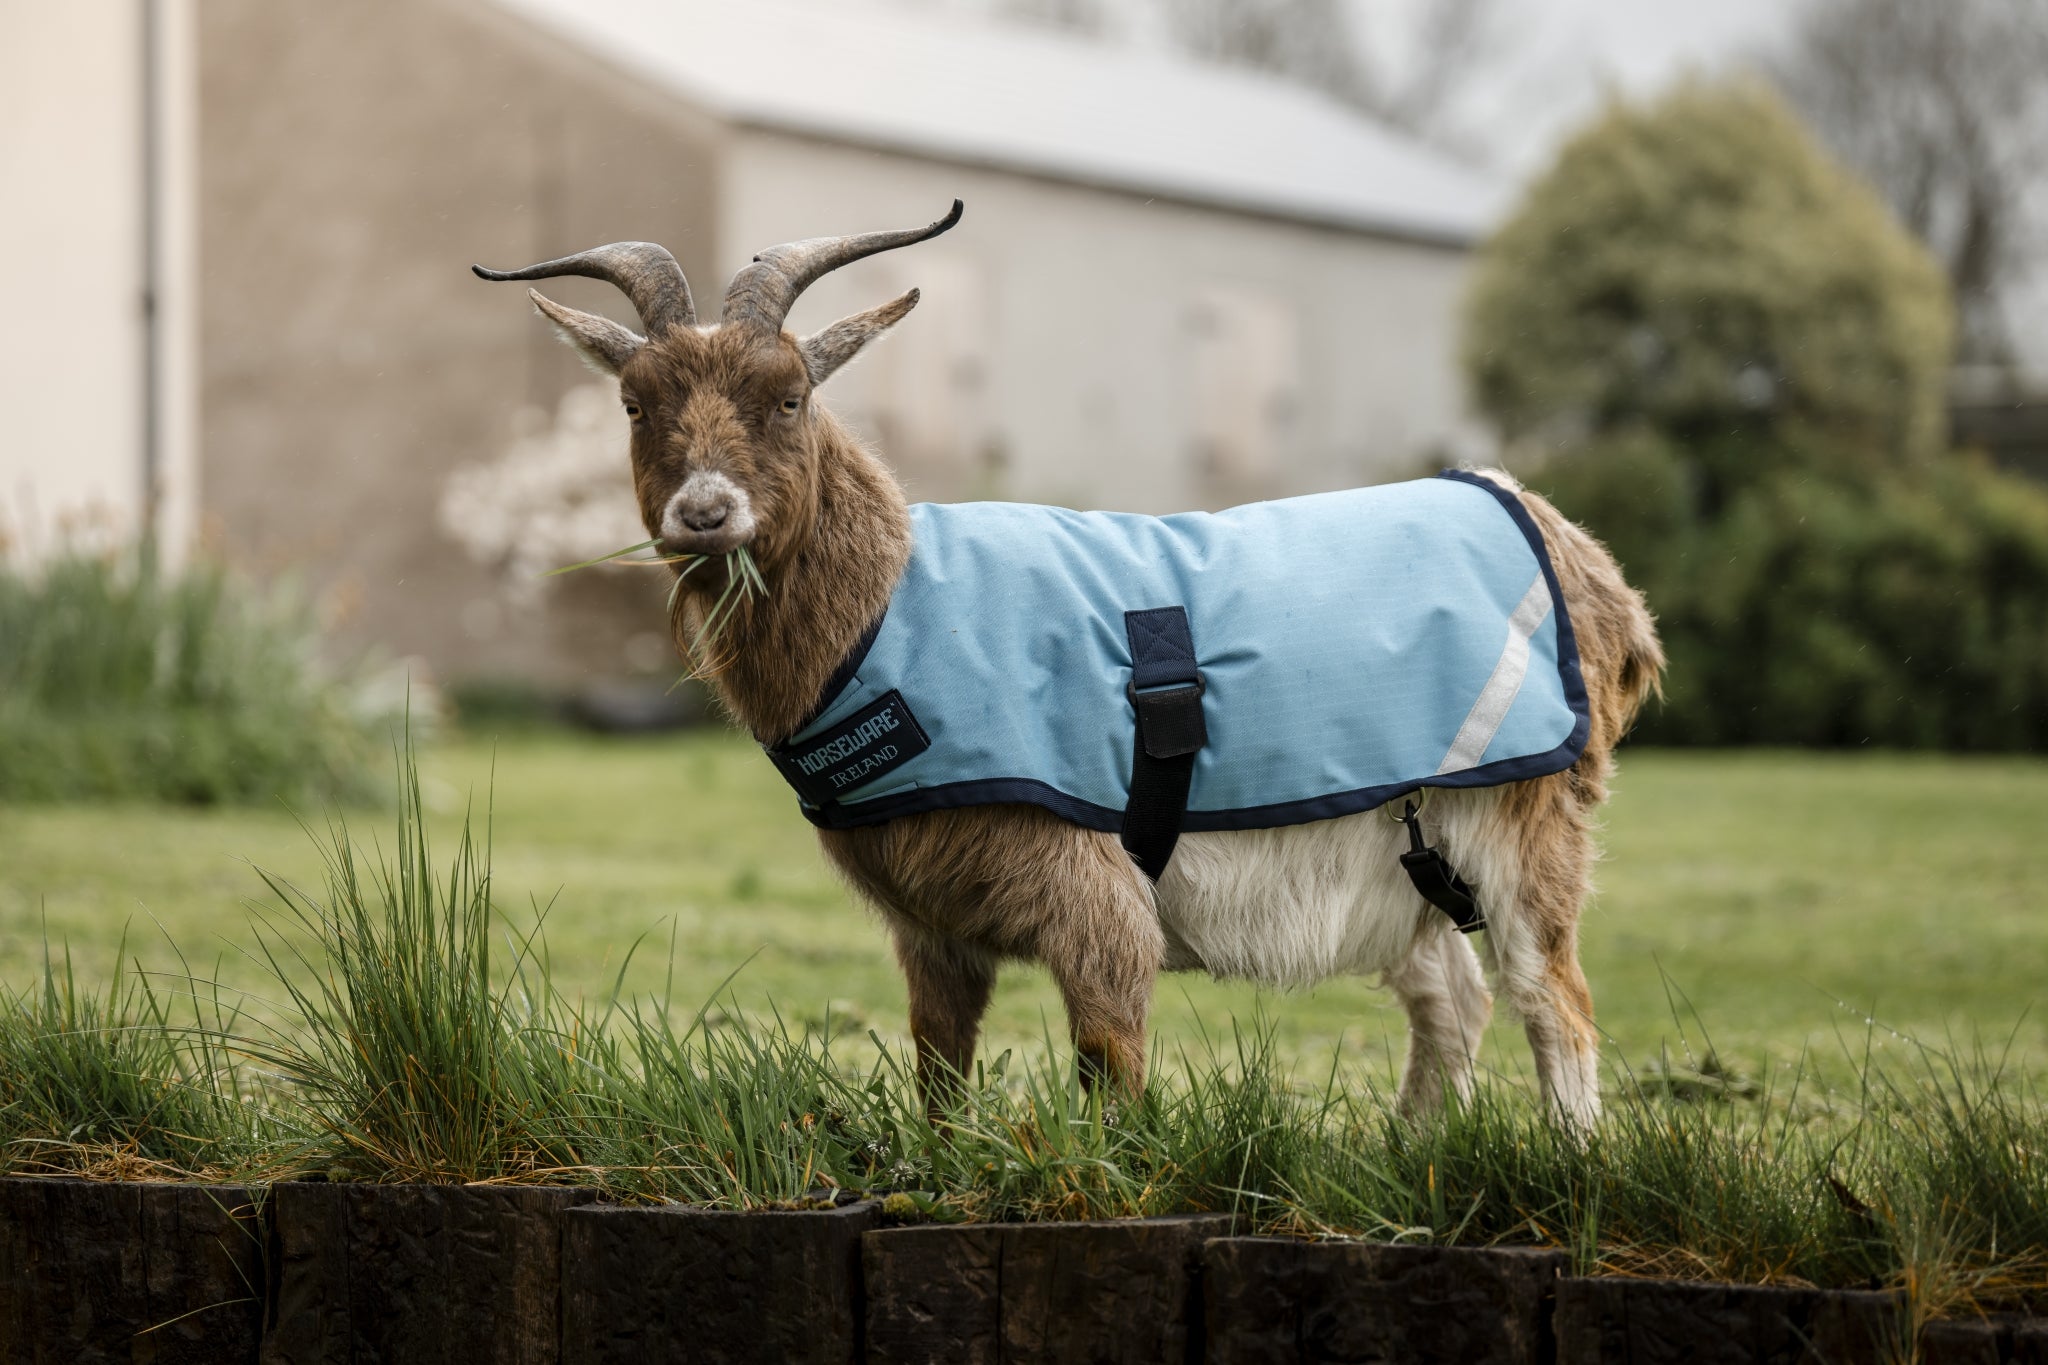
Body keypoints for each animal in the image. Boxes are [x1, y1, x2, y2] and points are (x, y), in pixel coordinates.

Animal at [475, 202, 1663, 1126]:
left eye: (790, 396)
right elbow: (939, 1072)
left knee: (1550, 996)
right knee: (1449, 997)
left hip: (1526, 817)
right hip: (1400, 852)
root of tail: (1588, 567)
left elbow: (1109, 1063)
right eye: (636, 404)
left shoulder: (1086, 889)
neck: (894, 615)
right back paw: (1405, 1163)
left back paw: (1565, 1172)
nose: (705, 512)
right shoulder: (932, 926)